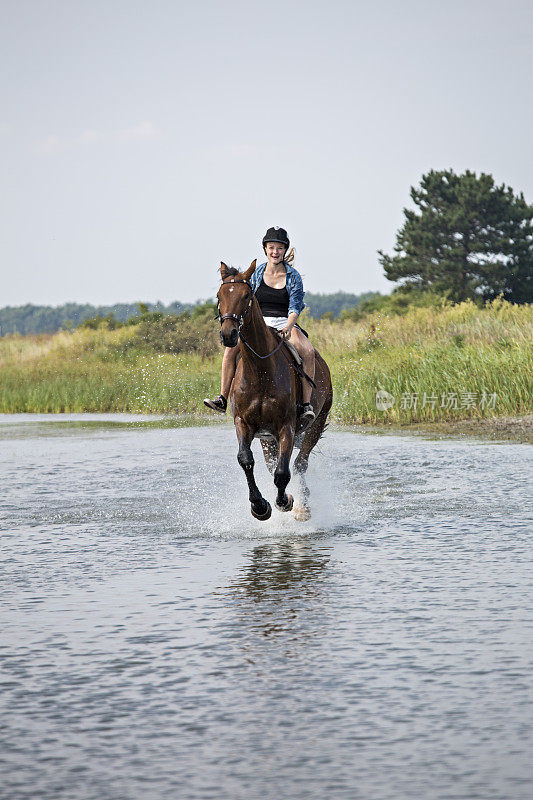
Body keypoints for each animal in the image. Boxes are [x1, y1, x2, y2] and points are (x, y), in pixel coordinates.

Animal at [216, 260, 332, 520]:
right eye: (219, 296)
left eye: (246, 296)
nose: (229, 335)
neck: (260, 370)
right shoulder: (244, 423)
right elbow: (246, 460)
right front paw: (260, 506)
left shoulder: (286, 427)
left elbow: (283, 472)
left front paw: (284, 501)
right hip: (266, 439)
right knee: (274, 464)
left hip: (316, 423)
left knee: (299, 464)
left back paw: (302, 505)